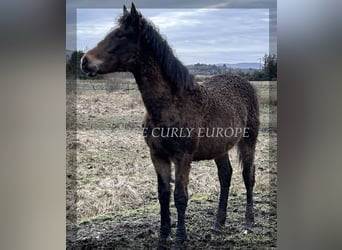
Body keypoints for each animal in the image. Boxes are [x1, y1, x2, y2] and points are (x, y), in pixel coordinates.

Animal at [82, 3, 260, 250]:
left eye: (120, 35)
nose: (84, 60)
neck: (172, 104)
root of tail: (245, 83)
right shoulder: (157, 156)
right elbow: (164, 194)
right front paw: (162, 237)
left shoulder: (182, 157)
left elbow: (180, 196)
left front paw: (179, 239)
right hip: (219, 147)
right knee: (226, 176)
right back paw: (218, 224)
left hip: (249, 140)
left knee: (247, 176)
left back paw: (249, 220)